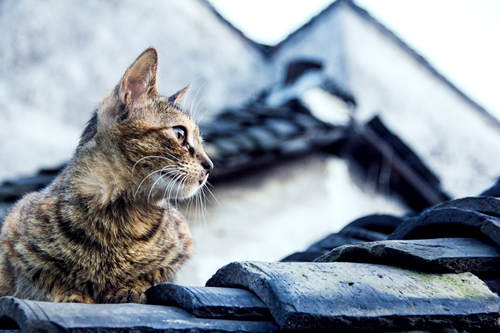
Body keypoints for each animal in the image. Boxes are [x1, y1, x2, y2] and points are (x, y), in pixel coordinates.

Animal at [0, 47, 213, 304]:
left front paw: (132, 287)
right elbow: (44, 274)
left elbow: (155, 272)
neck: (118, 217)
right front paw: (71, 293)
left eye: (201, 141)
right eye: (180, 133)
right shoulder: (12, 236)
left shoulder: (182, 245)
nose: (210, 165)